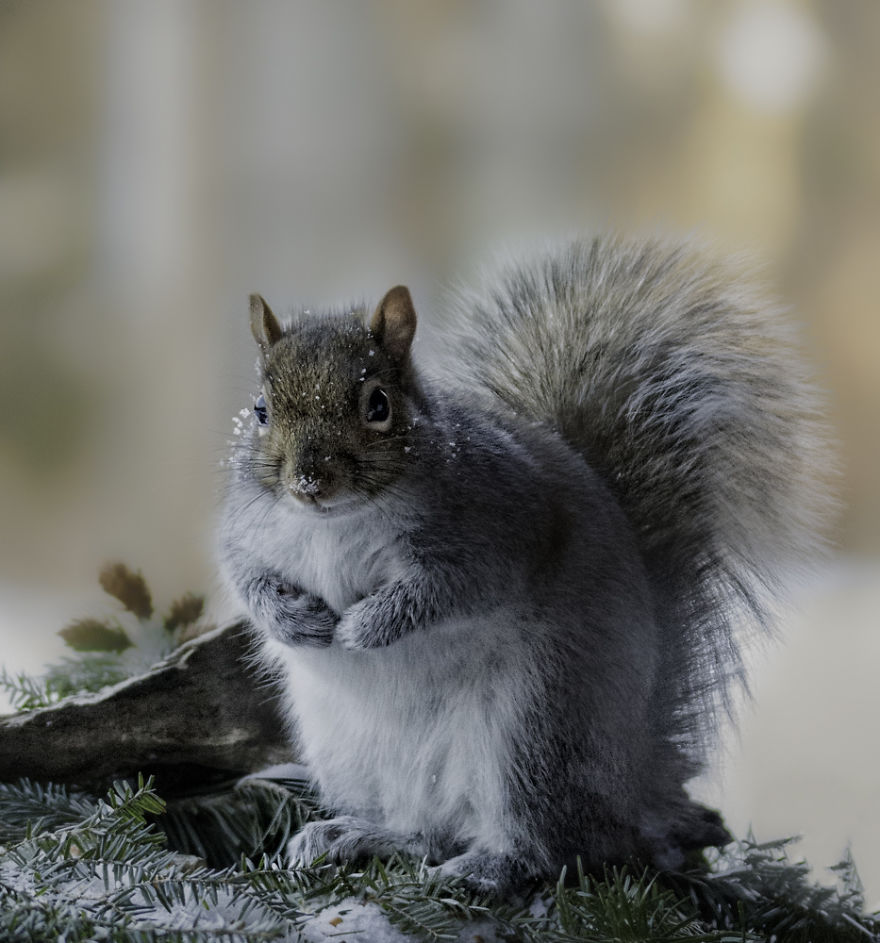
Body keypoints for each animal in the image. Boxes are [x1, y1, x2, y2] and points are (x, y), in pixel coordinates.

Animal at [217, 234, 828, 892]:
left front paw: (366, 626)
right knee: (426, 833)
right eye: (260, 410)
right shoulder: (246, 533)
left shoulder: (500, 527)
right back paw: (352, 834)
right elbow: (245, 578)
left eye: (377, 404)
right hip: (353, 753)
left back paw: (484, 868)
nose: (308, 482)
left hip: (536, 731)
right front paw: (294, 621)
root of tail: (635, 786)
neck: (336, 521)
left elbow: (443, 590)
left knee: (550, 847)